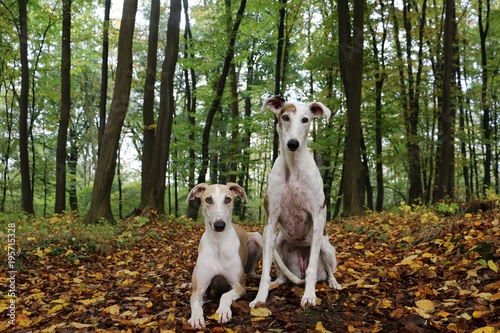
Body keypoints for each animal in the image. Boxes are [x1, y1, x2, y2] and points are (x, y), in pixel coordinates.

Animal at [187, 183, 262, 328]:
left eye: (228, 199)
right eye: (208, 199)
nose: (220, 225)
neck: (218, 243)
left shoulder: (240, 286)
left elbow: (225, 295)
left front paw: (223, 311)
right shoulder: (199, 288)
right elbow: (195, 302)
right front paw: (196, 317)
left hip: (257, 237)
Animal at [249, 96, 340, 308]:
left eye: (305, 119)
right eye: (285, 117)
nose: (293, 144)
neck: (292, 167)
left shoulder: (317, 218)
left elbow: (312, 267)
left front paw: (309, 296)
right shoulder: (270, 221)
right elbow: (265, 271)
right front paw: (260, 298)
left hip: (326, 247)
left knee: (327, 271)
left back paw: (333, 283)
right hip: (279, 242)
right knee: (284, 272)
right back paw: (279, 281)